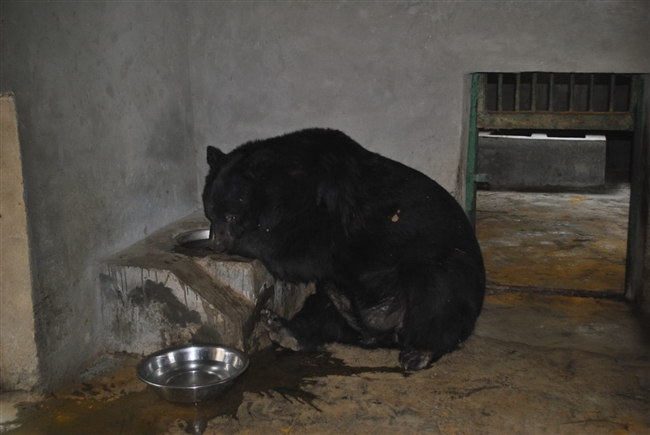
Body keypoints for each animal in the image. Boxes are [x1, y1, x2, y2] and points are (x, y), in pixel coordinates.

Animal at [202, 128, 485, 371]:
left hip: (441, 267)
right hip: (348, 302)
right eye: (210, 212)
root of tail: (384, 331)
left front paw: (246, 240)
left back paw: (419, 351)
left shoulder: (328, 211)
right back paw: (282, 327)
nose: (216, 243)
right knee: (323, 310)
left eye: (232, 215)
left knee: (436, 294)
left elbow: (299, 252)